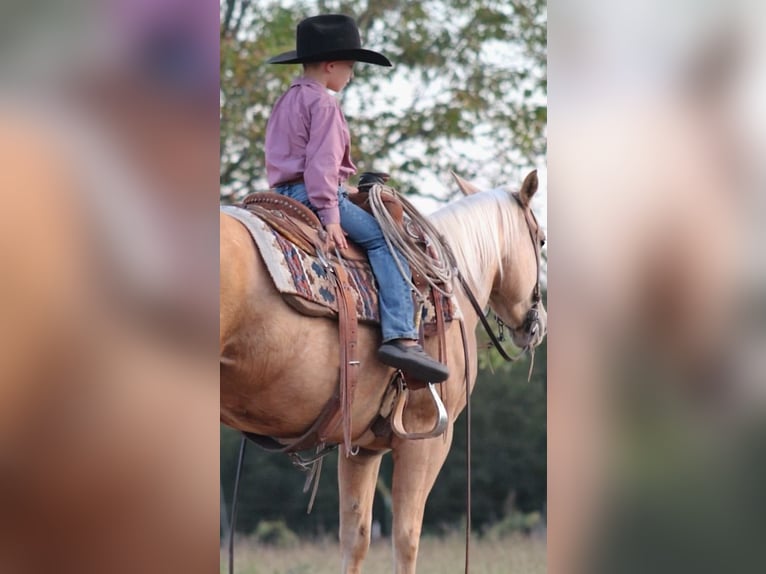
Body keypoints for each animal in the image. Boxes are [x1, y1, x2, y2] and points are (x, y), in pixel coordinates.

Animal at [219, 171, 548, 574]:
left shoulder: (361, 447)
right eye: (541, 239)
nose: (536, 325)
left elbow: (355, 539)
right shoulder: (427, 438)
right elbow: (406, 539)